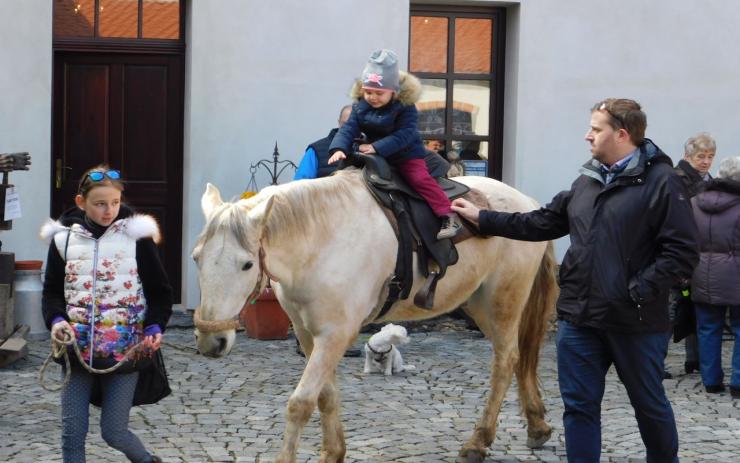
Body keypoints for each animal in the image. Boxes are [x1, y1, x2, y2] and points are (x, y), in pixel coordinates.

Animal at [191, 170, 556, 463]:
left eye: (247, 264)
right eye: (196, 258)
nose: (212, 340)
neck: (320, 242)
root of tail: (526, 203)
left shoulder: (335, 334)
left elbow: (301, 403)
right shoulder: (310, 334)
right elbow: (325, 395)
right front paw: (334, 453)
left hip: (503, 302)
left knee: (505, 361)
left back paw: (478, 442)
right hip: (479, 305)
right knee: (518, 359)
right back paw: (536, 426)